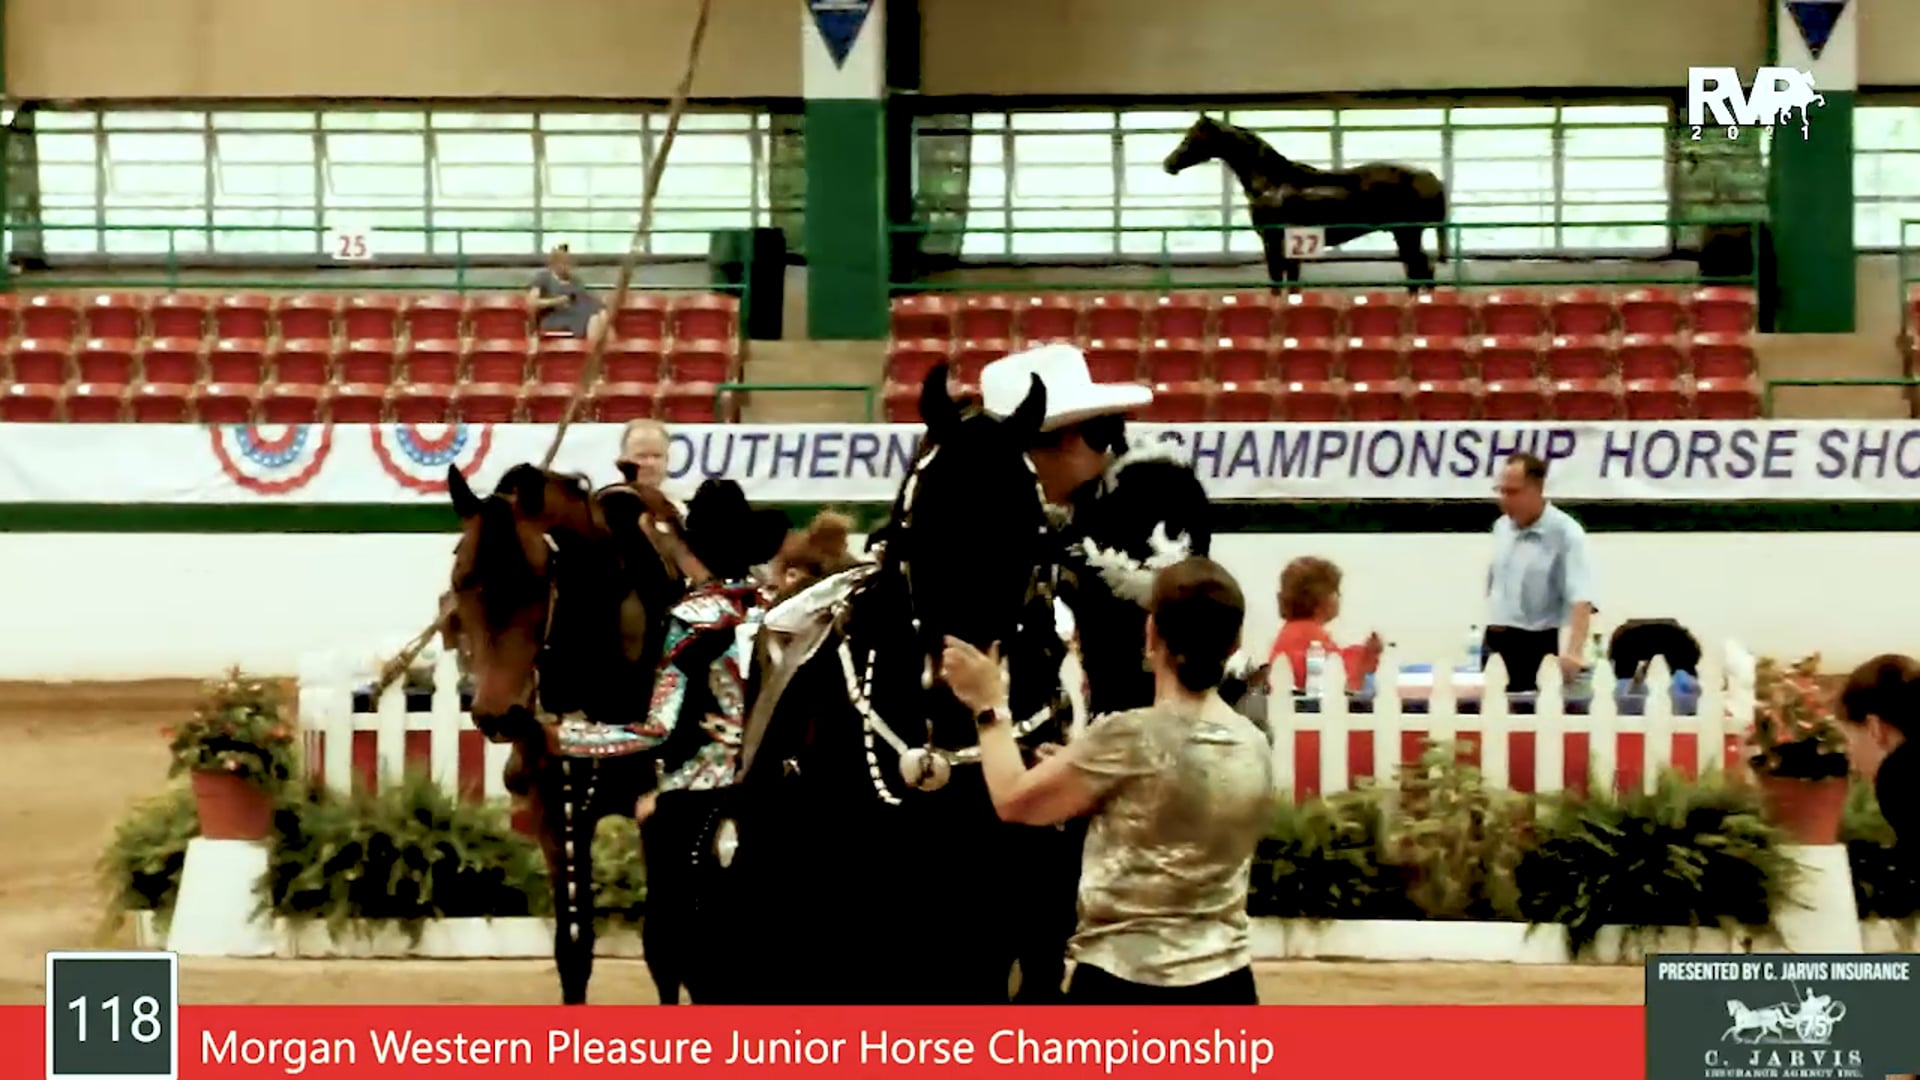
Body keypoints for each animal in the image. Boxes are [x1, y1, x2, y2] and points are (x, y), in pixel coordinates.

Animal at [444, 462, 686, 1005]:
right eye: (461, 578)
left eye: (537, 580)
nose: (499, 715)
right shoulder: (556, 813)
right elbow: (573, 950)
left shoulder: (657, 814)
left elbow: (664, 949)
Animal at [1164, 113, 1448, 292]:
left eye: (1192, 136)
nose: (1169, 164)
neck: (1272, 181)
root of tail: (1430, 177)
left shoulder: (1273, 242)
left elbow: (1279, 282)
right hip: (1405, 235)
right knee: (1418, 272)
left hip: (1408, 233)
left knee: (1420, 271)